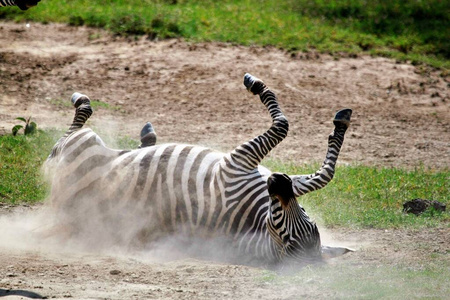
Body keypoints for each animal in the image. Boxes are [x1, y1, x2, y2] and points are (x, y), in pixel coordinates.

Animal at [46, 74, 356, 266]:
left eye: (291, 242)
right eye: (312, 224)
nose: (279, 181)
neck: (255, 218)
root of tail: (58, 205)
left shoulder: (239, 162)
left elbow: (283, 125)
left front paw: (254, 83)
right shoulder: (275, 177)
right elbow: (324, 172)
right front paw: (340, 124)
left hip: (81, 144)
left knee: (69, 131)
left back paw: (83, 101)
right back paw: (147, 138)